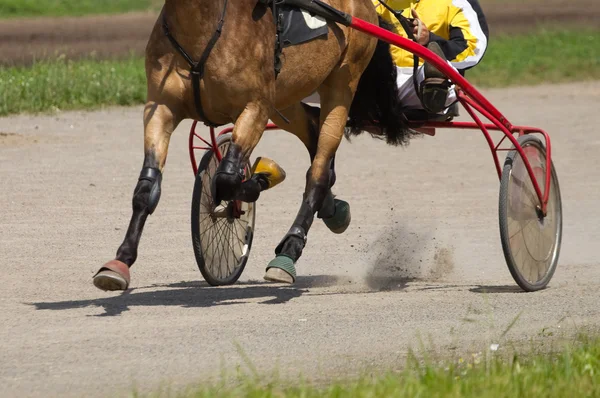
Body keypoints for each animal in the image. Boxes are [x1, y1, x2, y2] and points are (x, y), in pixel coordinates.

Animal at [92, 0, 412, 290]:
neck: (203, 25)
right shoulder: (160, 107)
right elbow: (147, 188)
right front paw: (120, 262)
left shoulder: (255, 108)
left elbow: (226, 180)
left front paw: (262, 178)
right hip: (285, 94)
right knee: (312, 128)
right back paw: (332, 208)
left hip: (342, 81)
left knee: (319, 169)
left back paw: (289, 250)